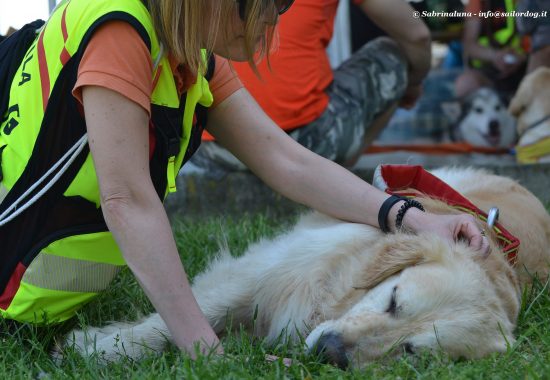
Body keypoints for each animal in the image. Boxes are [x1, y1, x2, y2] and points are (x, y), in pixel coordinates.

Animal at [60, 167, 550, 368]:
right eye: (394, 299)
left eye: (411, 351)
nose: (329, 351)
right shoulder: (266, 269)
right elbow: (179, 317)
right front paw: (97, 348)